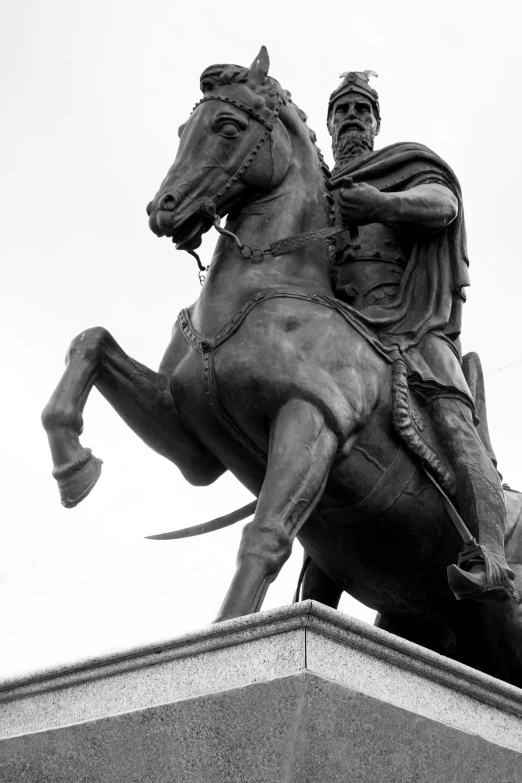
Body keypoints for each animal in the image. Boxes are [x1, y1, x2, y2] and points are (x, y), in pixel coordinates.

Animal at [41, 47, 522, 688]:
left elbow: (265, 535)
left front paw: (226, 638)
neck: (263, 291)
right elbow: (90, 342)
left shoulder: (312, 420)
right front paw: (73, 466)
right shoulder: (195, 445)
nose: (162, 210)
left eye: (227, 126)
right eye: (183, 129)